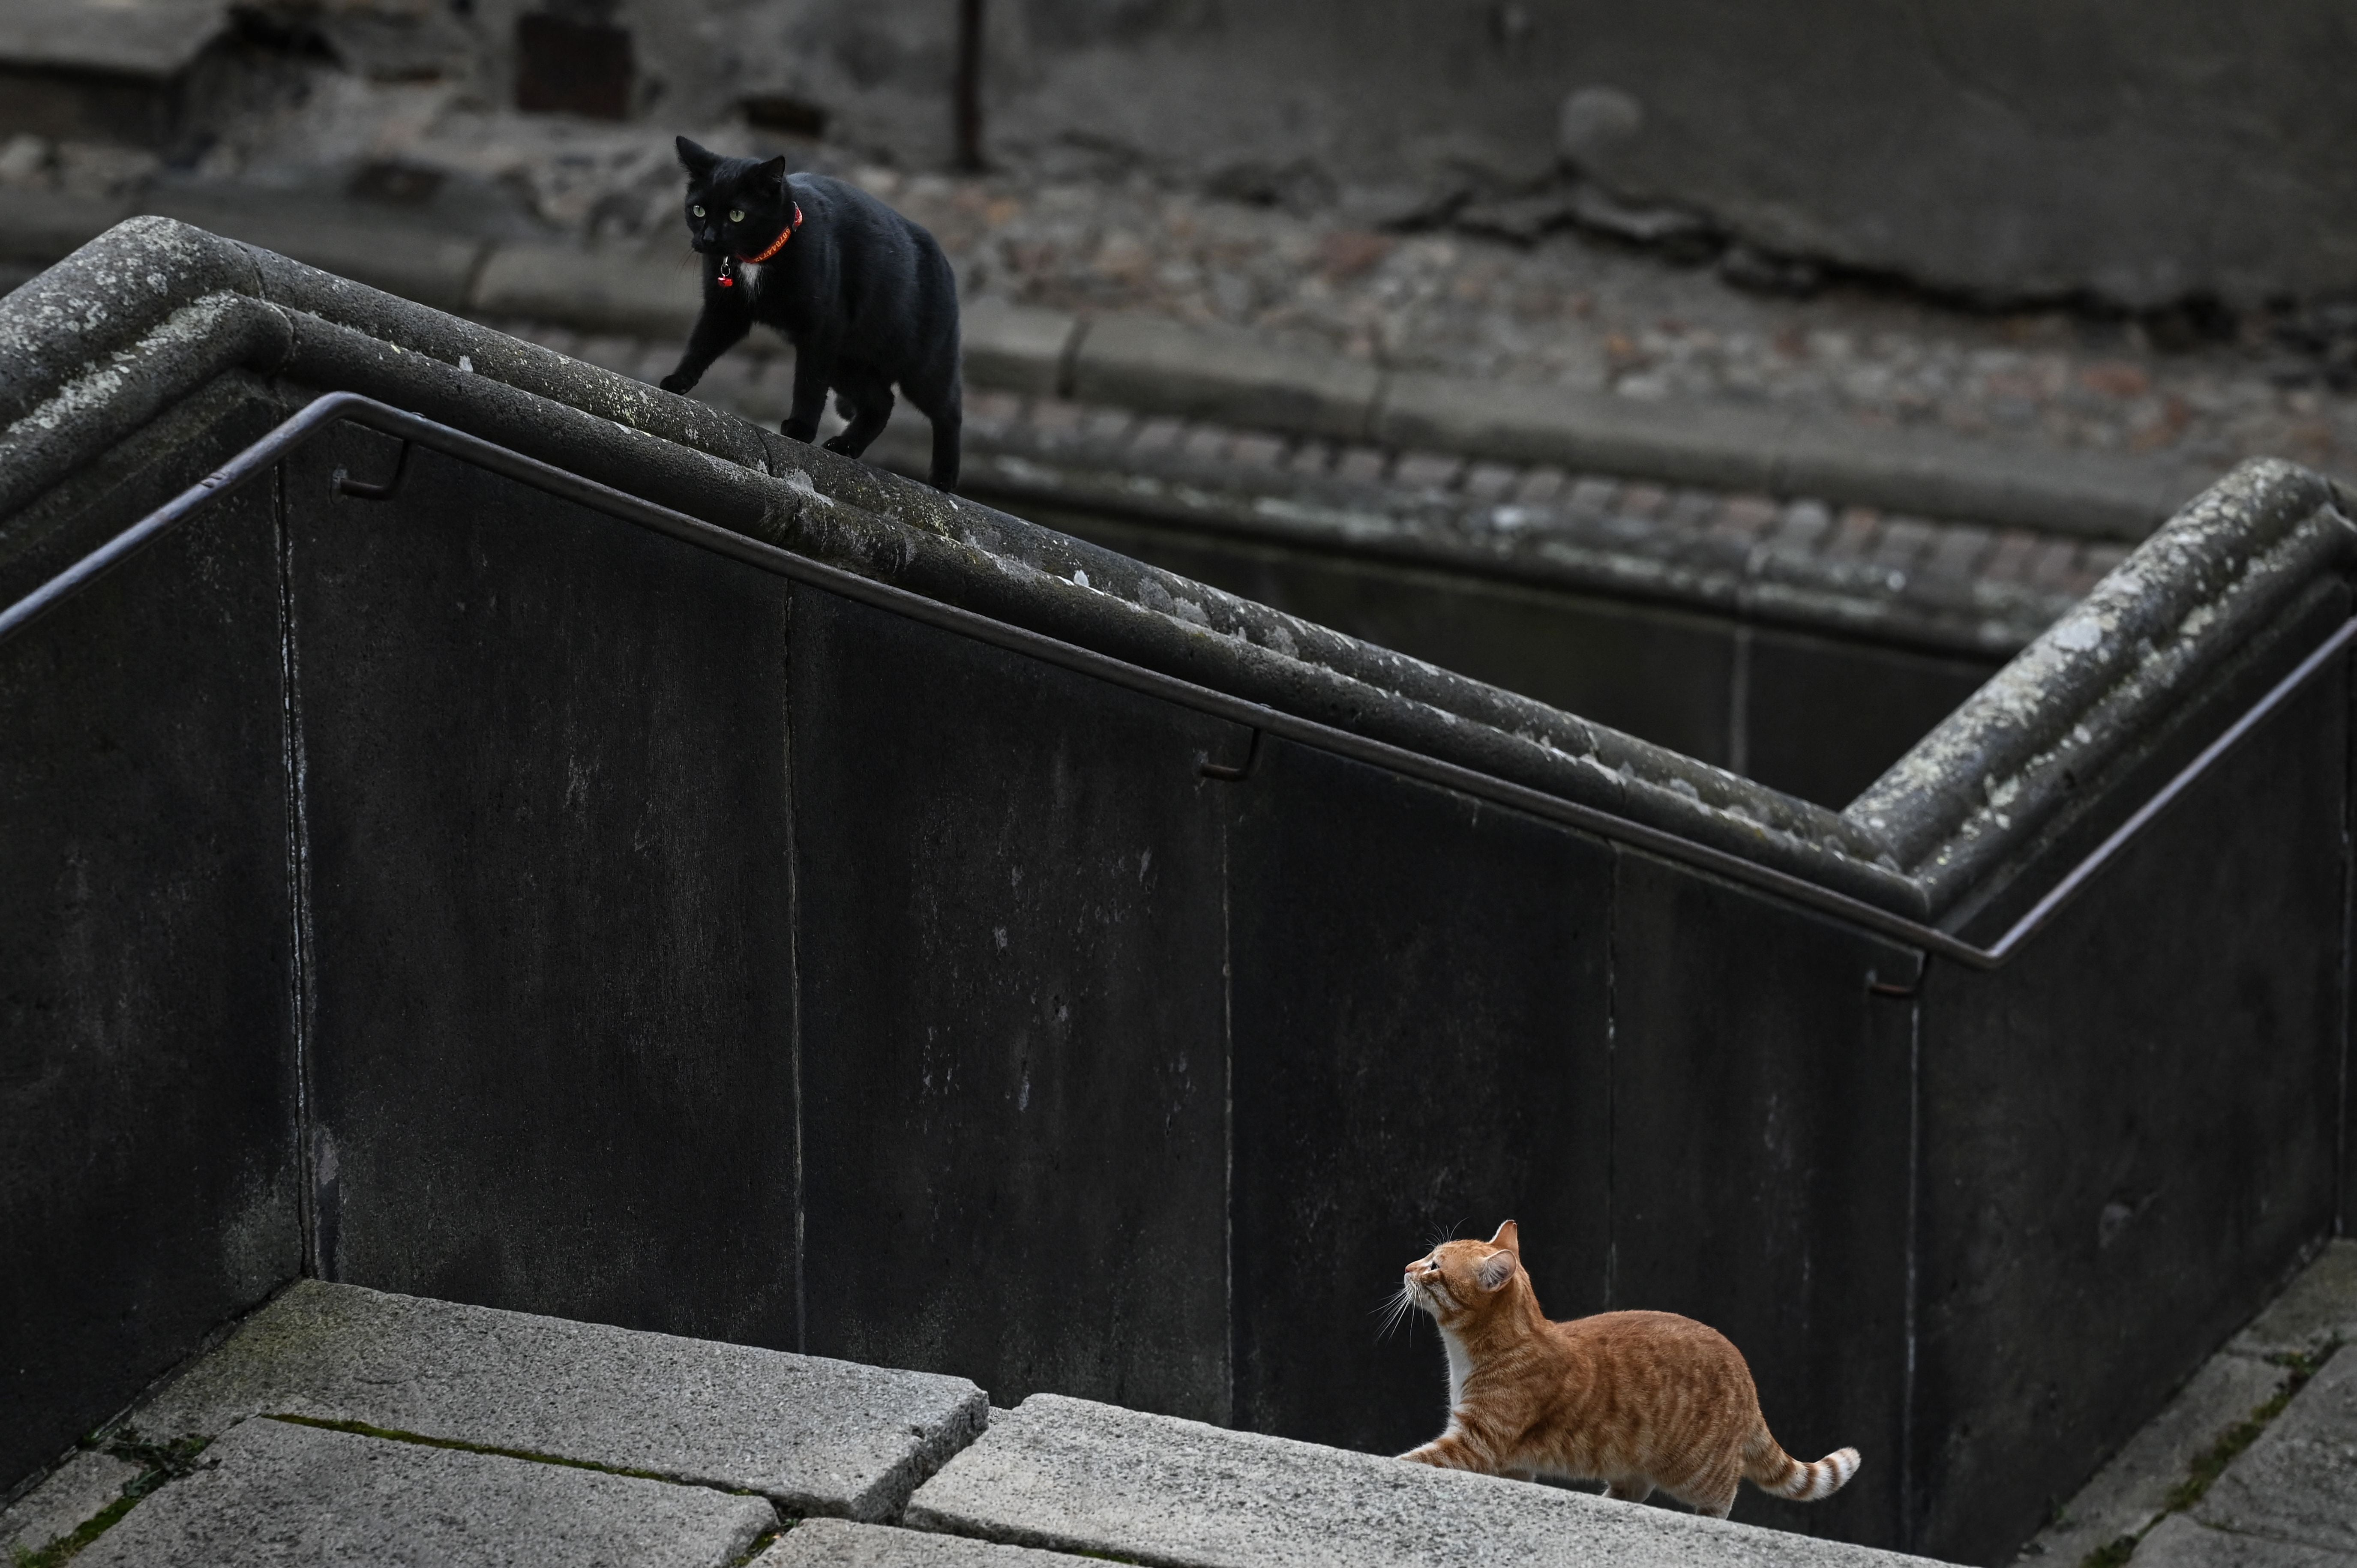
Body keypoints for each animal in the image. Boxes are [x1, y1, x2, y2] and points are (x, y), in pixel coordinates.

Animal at [655, 144, 957, 492]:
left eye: (736, 215)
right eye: (699, 210)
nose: (708, 239)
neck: (754, 261)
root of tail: (942, 255)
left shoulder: (822, 328)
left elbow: (809, 382)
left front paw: (800, 429)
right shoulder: (725, 311)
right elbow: (701, 346)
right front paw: (678, 381)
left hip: (921, 365)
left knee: (948, 411)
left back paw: (944, 478)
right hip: (846, 362)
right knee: (881, 402)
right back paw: (846, 445)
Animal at [1395, 1226, 1857, 1518]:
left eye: (1435, 1266)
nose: (1406, 1267)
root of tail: (1746, 1373)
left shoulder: (1477, 1441)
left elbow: (1418, 1458)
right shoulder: (1511, 1463)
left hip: (1698, 1470)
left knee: (1723, 1494)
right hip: (1628, 1457)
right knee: (1636, 1487)